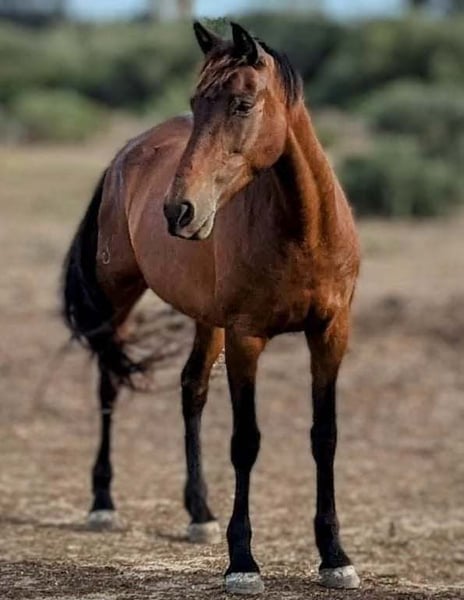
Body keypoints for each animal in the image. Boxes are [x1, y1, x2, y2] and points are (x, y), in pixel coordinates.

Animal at [61, 22, 360, 596]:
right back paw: (102, 503)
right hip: (119, 296)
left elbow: (326, 436)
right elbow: (246, 441)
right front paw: (243, 562)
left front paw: (334, 555)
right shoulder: (247, 337)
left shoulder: (330, 333)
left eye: (242, 104)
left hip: (206, 319)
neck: (303, 232)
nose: (179, 210)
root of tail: (125, 154)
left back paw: (198, 512)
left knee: (191, 387)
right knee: (109, 382)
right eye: (195, 103)